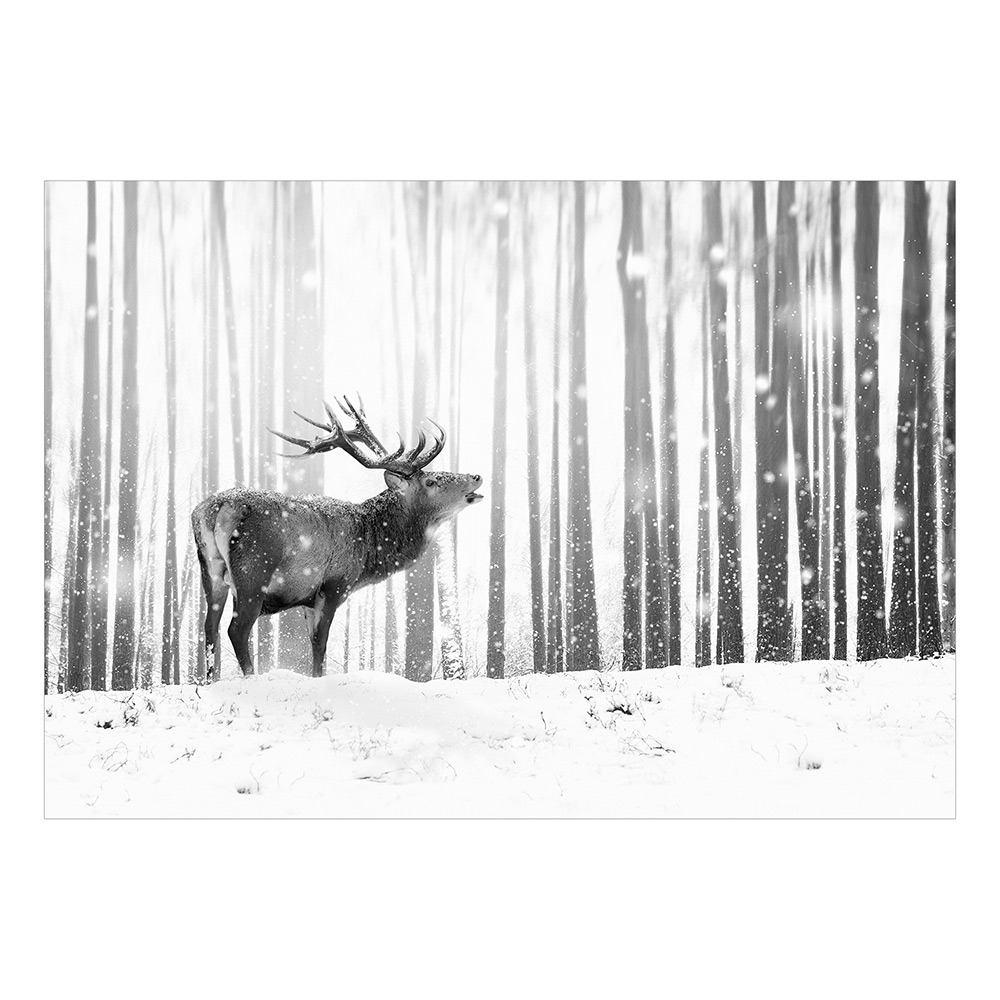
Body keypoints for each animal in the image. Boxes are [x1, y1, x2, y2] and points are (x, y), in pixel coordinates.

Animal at [191, 395, 483, 680]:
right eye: (431, 482)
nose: (476, 476)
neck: (368, 549)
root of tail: (216, 508)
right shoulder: (334, 584)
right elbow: (320, 644)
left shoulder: (307, 599)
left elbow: (312, 644)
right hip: (254, 571)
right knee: (237, 629)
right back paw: (251, 677)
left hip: (210, 571)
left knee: (209, 628)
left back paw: (210, 680)